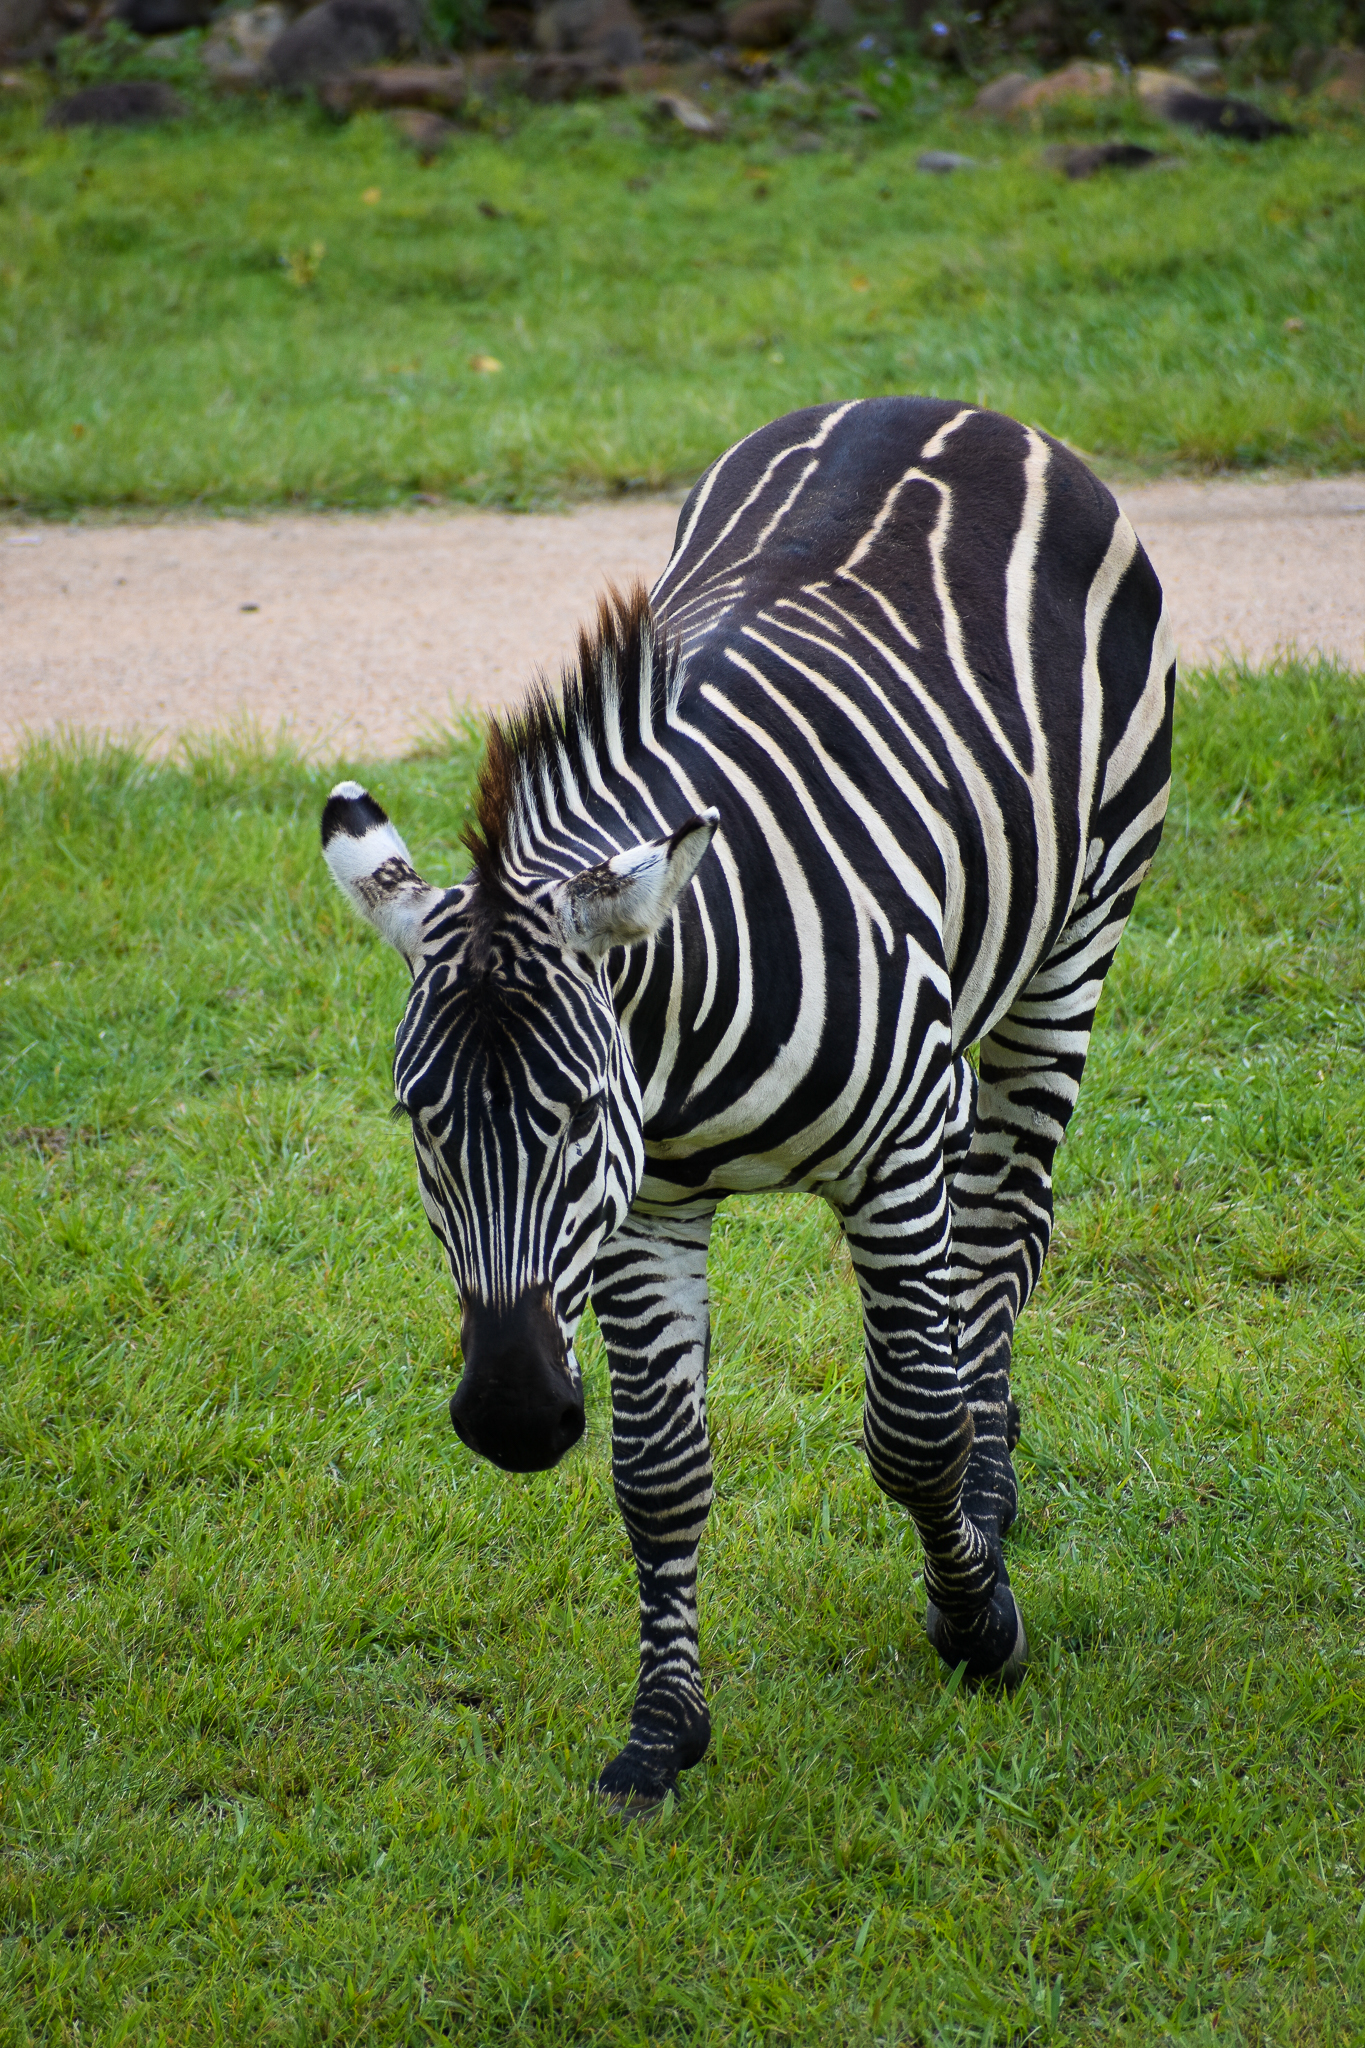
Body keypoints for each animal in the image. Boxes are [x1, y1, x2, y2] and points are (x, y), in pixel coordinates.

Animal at [321, 397, 1175, 1813]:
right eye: (418, 1125)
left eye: (574, 1110)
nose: (511, 1419)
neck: (683, 1027)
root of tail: (936, 404)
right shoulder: (644, 1206)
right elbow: (658, 1472)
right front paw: (664, 1728)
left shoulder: (895, 1153)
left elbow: (913, 1427)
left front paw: (975, 1619)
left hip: (1076, 941)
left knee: (1006, 1236)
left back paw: (994, 1490)